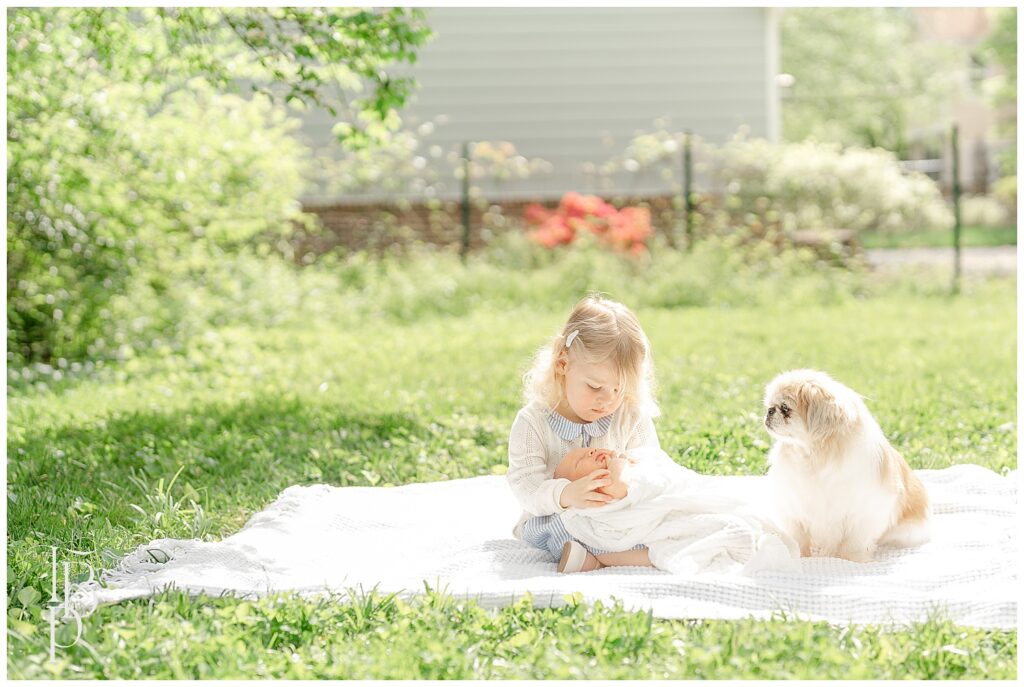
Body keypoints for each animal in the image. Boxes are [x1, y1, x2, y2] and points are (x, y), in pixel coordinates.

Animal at [761, 368, 929, 561]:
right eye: (770, 405)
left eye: (785, 408)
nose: (769, 411)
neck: (815, 457)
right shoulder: (795, 508)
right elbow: (799, 537)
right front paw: (801, 556)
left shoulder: (864, 512)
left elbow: (854, 542)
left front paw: (851, 560)